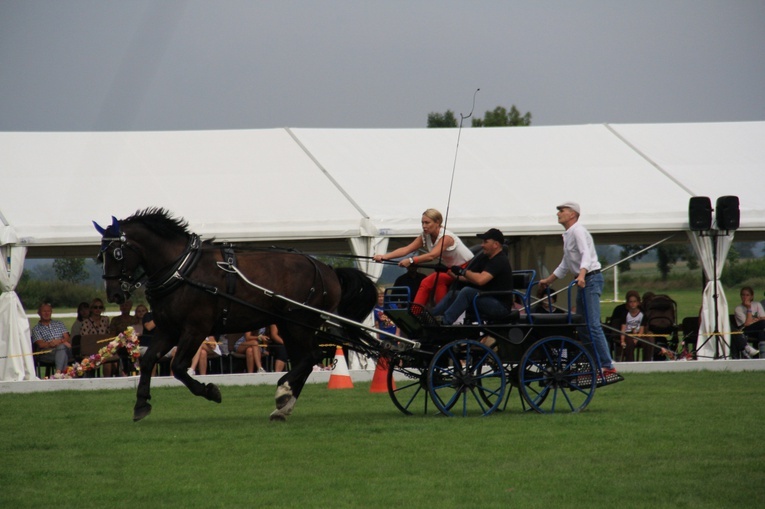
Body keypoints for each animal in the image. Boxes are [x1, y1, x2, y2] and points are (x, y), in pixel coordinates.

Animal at [95, 206, 376, 420]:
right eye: (101, 255)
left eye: (117, 253)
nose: (114, 295)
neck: (182, 269)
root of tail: (327, 269)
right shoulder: (169, 330)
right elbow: (147, 361)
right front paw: (141, 404)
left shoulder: (195, 329)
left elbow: (178, 367)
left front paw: (210, 391)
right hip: (289, 325)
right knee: (306, 360)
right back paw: (284, 406)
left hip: (299, 322)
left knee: (311, 356)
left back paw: (282, 391)